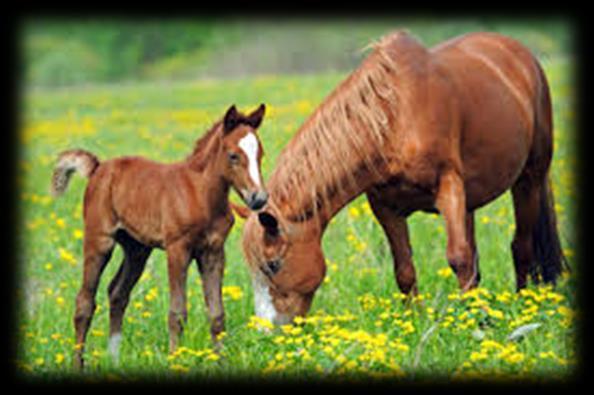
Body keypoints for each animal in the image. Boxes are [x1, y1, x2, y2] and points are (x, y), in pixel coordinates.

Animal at [52, 104, 266, 372]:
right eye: (233, 156)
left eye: (261, 154)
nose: (259, 198)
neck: (200, 194)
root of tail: (98, 168)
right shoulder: (177, 249)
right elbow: (177, 313)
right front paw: (175, 361)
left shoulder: (214, 252)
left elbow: (217, 314)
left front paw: (222, 363)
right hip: (99, 240)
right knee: (84, 302)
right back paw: (78, 364)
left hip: (137, 249)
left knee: (117, 293)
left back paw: (114, 360)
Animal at [236, 31, 564, 328]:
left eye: (273, 265)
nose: (268, 329)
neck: (396, 117)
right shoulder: (385, 206)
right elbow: (405, 268)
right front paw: (413, 322)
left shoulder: (448, 187)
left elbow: (458, 257)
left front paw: (475, 323)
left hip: (529, 178)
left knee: (521, 246)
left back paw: (522, 305)